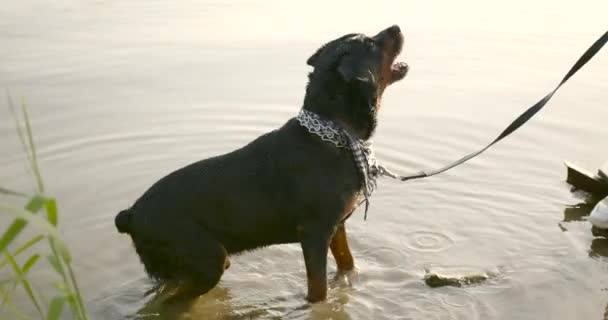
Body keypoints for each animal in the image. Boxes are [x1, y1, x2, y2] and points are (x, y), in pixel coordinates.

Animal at [114, 25, 408, 302]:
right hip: (206, 259)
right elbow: (318, 289)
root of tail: (131, 215)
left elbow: (347, 263)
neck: (336, 134)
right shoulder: (314, 232)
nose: (396, 26)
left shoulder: (337, 226)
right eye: (371, 43)